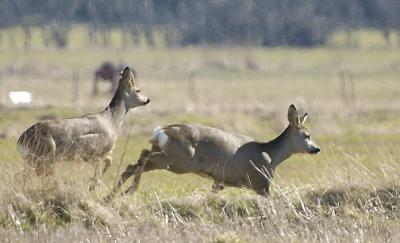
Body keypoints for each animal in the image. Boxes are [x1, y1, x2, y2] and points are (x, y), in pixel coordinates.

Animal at [17, 67, 150, 192]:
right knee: (37, 174)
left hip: (33, 158)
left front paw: (93, 183)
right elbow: (101, 169)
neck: (112, 121)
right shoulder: (94, 152)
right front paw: (93, 185)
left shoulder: (97, 154)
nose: (148, 99)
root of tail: (22, 139)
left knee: (24, 174)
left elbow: (109, 161)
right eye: (138, 90)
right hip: (45, 154)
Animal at [104, 103, 320, 200]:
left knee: (137, 160)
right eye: (307, 135)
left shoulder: (220, 179)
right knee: (141, 158)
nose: (316, 149)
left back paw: (114, 194)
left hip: (167, 155)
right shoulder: (261, 182)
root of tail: (160, 131)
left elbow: (213, 193)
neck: (270, 154)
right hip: (178, 159)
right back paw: (129, 190)